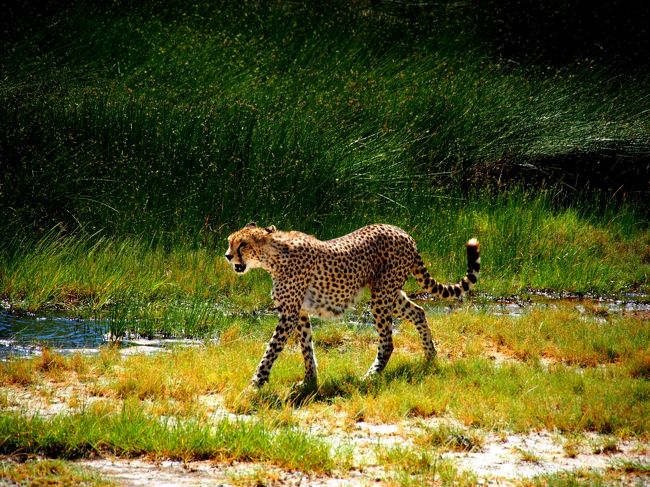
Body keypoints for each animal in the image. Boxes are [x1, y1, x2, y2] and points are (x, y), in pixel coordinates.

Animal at [225, 224, 478, 388]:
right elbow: (306, 347)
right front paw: (309, 381)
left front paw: (256, 383)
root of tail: (403, 232)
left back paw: (371, 375)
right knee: (418, 311)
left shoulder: (289, 313)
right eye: (230, 241)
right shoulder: (300, 312)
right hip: (389, 294)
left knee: (388, 342)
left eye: (243, 244)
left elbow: (271, 349)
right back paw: (430, 356)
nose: (227, 255)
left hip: (381, 296)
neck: (273, 257)